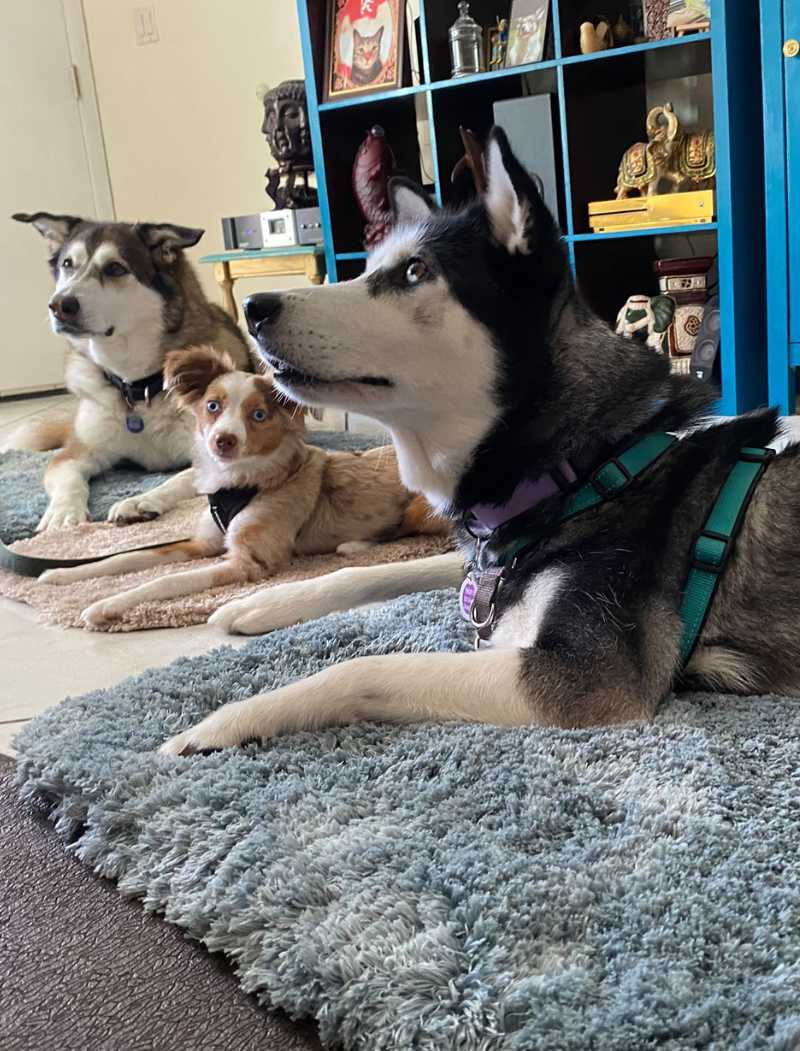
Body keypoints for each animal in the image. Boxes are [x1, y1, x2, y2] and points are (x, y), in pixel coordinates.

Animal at [37, 344, 445, 626]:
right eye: (213, 406)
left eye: (259, 415)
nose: (223, 441)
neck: (238, 484)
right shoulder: (201, 543)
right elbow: (125, 558)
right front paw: (62, 575)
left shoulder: (248, 563)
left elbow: (163, 582)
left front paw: (105, 605)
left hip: (419, 508)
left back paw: (354, 545)